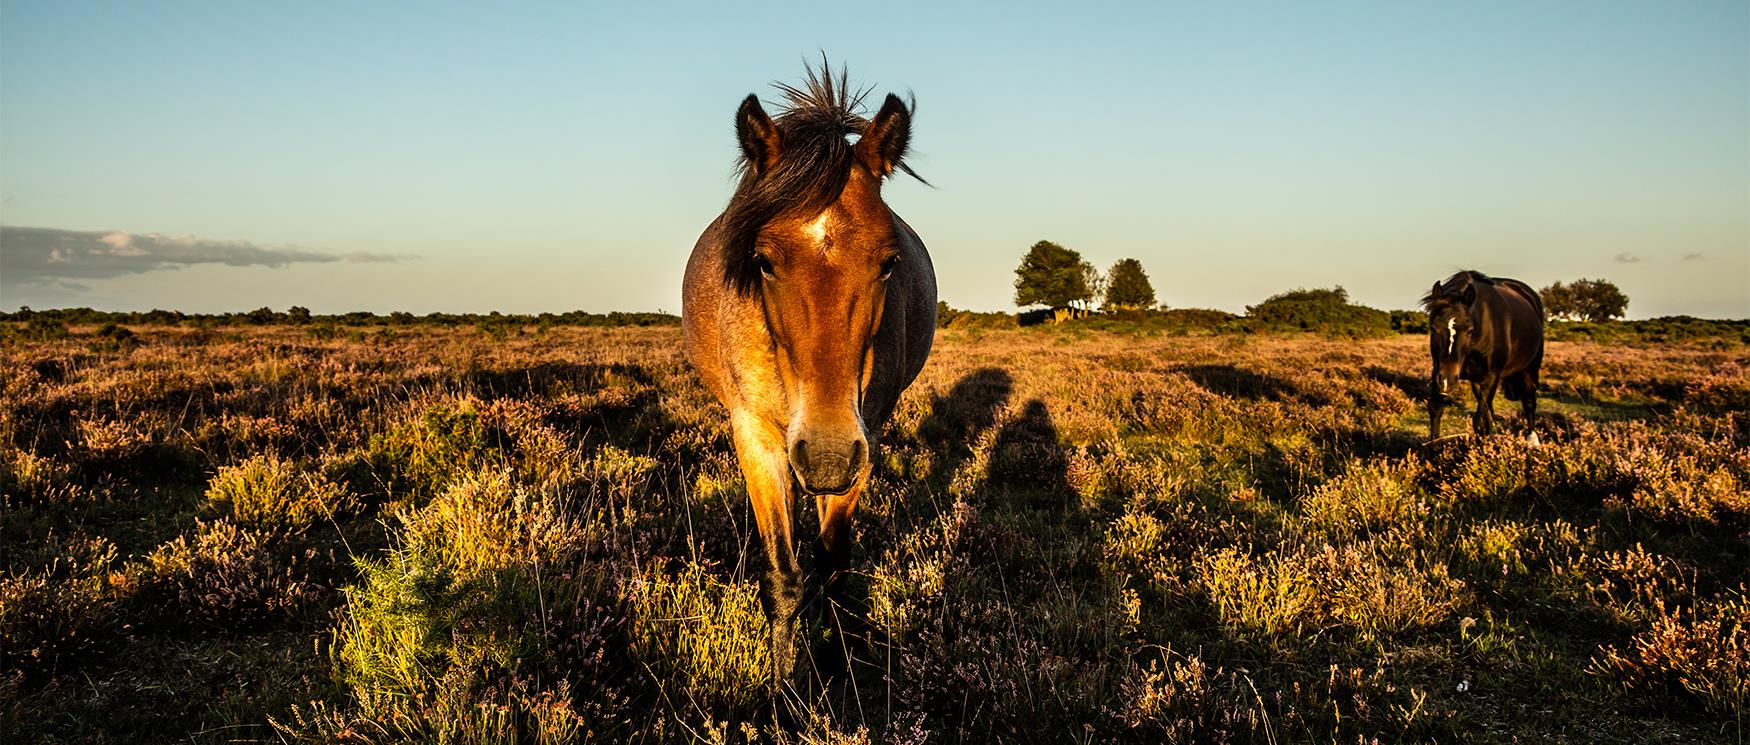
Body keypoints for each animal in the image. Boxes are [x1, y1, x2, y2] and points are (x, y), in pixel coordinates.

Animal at [679, 65, 938, 682]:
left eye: (889, 262)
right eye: (763, 260)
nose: (824, 455)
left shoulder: (867, 434)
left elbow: (832, 562)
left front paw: (839, 664)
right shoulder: (755, 435)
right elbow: (783, 577)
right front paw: (785, 690)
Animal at [1421, 272, 1547, 438]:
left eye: (1469, 330)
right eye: (1433, 328)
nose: (1447, 381)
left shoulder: (1492, 376)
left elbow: (1479, 421)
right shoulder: (1438, 373)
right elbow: (1436, 409)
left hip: (1530, 369)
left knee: (1529, 402)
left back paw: (1532, 438)